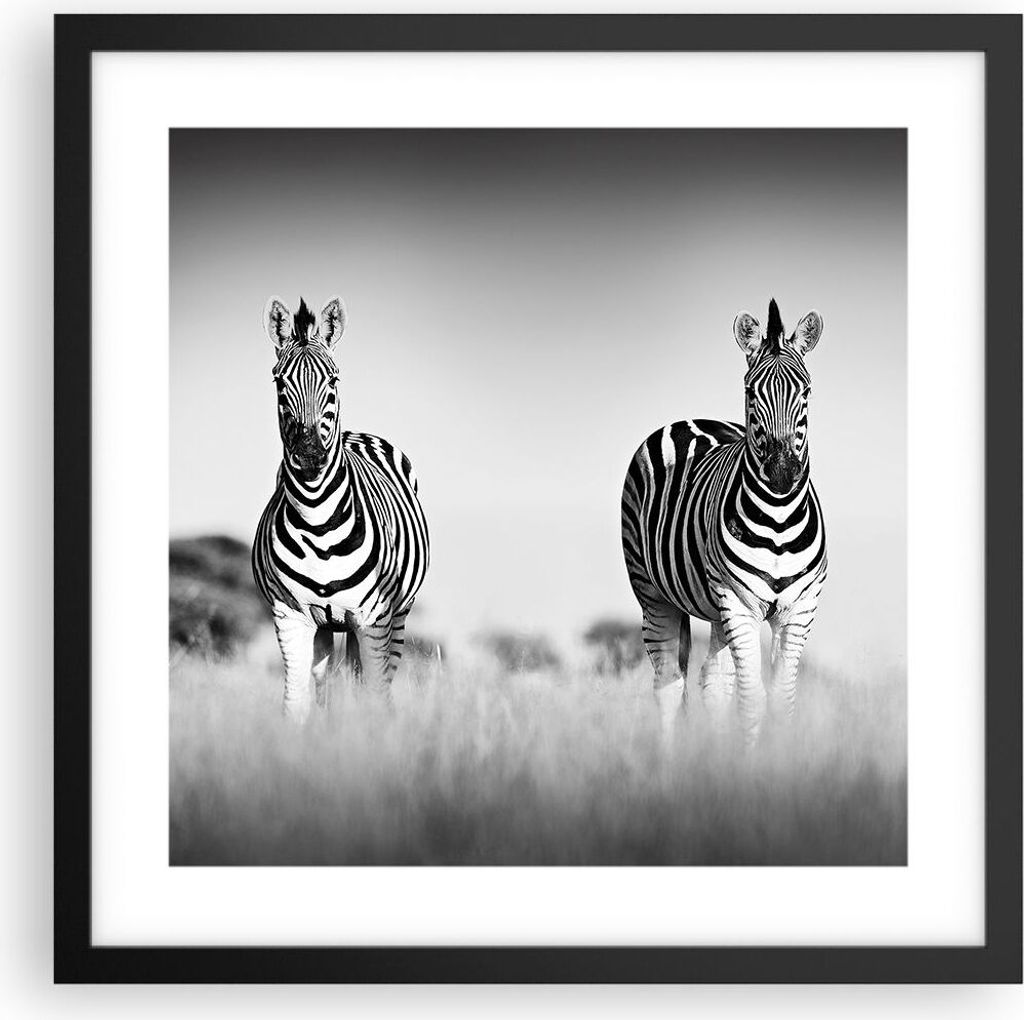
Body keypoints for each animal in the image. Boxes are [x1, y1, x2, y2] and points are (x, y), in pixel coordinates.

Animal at [252, 295, 430, 722]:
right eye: (279, 382)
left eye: (333, 380)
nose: (310, 455)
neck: (318, 520)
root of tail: (356, 433)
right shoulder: (291, 616)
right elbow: (296, 704)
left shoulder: (374, 619)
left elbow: (375, 697)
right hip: (328, 625)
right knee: (329, 683)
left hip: (397, 617)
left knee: (375, 683)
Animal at [620, 299, 827, 743]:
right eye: (751, 391)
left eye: (806, 391)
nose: (782, 473)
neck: (779, 518)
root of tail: (690, 419)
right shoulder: (738, 601)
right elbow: (752, 699)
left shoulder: (799, 608)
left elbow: (781, 699)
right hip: (653, 593)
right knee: (669, 682)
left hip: (716, 611)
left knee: (714, 682)